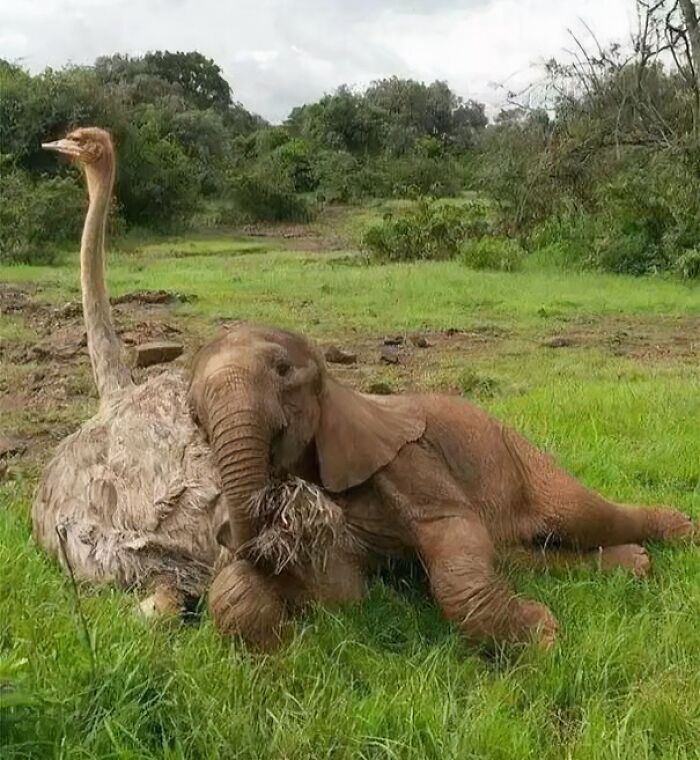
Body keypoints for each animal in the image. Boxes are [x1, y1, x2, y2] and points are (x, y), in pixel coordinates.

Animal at [189, 323, 696, 650]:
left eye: (282, 371)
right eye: (194, 415)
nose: (227, 534)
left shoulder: (409, 458)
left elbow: (451, 534)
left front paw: (544, 638)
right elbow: (337, 591)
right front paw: (279, 644)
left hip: (518, 456)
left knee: (581, 515)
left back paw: (679, 531)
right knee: (515, 554)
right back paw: (636, 563)